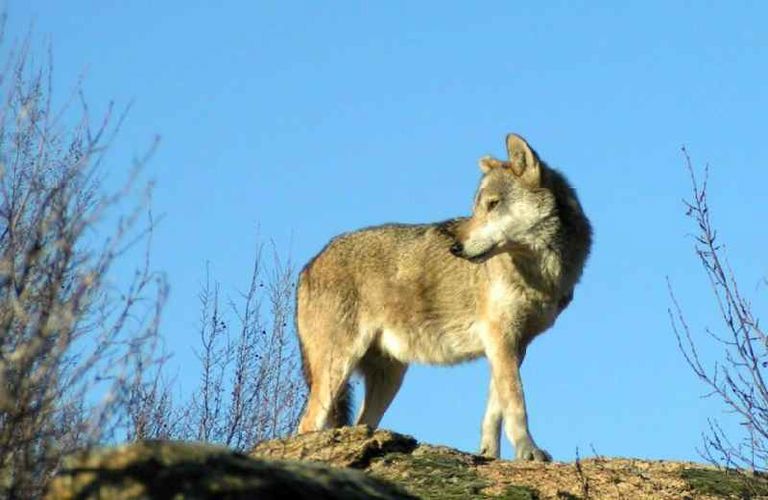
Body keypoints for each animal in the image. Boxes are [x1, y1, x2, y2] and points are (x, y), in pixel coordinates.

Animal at [295, 133, 592, 461]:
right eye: (476, 208)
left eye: (492, 205)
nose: (456, 248)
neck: (541, 273)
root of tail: (308, 265)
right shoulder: (500, 337)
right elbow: (516, 404)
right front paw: (529, 451)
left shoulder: (513, 345)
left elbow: (494, 411)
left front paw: (489, 455)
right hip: (338, 369)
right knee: (306, 425)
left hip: (389, 377)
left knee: (358, 423)